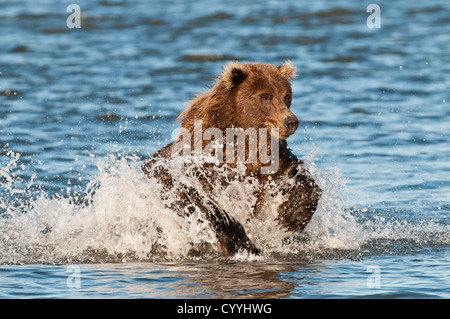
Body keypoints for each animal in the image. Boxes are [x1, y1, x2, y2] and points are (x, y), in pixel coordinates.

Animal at [142, 62, 322, 258]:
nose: (291, 121)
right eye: (264, 96)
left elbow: (295, 175)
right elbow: (198, 199)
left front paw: (292, 215)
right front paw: (240, 243)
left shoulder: (272, 161)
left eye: (286, 95)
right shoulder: (201, 165)